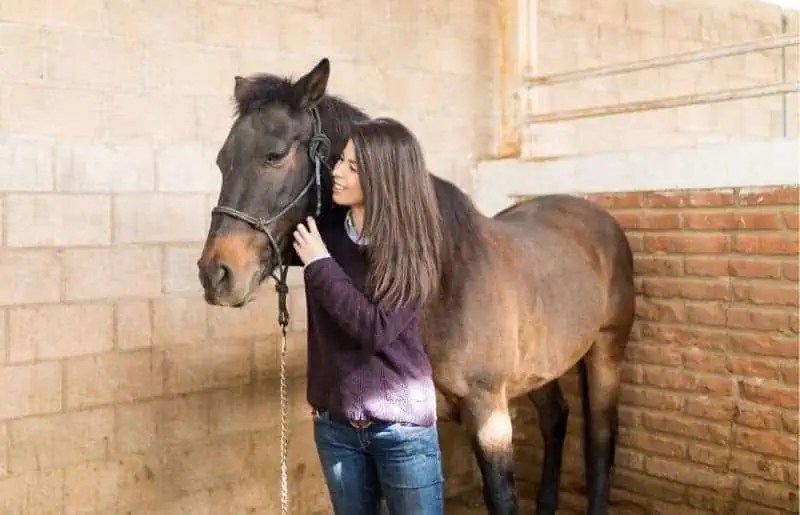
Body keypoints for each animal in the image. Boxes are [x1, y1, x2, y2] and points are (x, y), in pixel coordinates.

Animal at [197, 58, 635, 515]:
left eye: (275, 155)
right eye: (222, 161)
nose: (216, 273)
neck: (446, 278)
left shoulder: (489, 412)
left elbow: (501, 496)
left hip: (606, 351)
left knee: (600, 440)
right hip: (540, 367)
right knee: (555, 419)